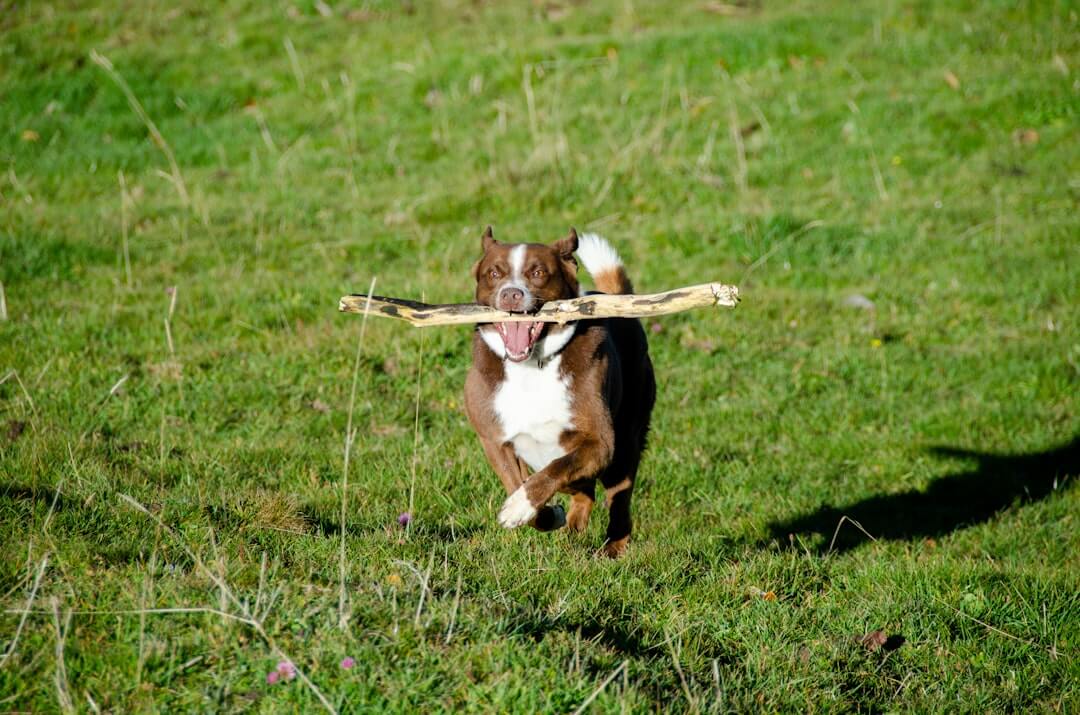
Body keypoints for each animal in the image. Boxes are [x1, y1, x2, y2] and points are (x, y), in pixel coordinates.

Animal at [462, 226, 652, 557]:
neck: (531, 367)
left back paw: (612, 548)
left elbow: (556, 469)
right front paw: (538, 513)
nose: (511, 294)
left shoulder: (600, 443)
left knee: (618, 496)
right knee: (584, 490)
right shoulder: (494, 440)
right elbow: (520, 486)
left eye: (538, 272)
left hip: (627, 437)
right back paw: (572, 529)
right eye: (494, 273)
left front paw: (520, 506)